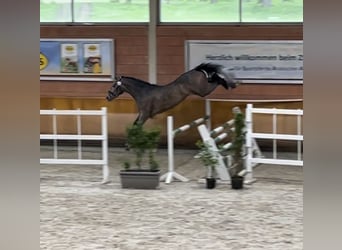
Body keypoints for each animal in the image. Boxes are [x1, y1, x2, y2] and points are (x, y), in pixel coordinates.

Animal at [105, 62, 239, 125]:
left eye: (114, 85)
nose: (107, 97)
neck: (142, 92)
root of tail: (195, 70)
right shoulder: (142, 113)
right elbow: (134, 124)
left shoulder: (145, 115)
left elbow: (137, 126)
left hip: (203, 90)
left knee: (216, 79)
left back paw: (230, 84)